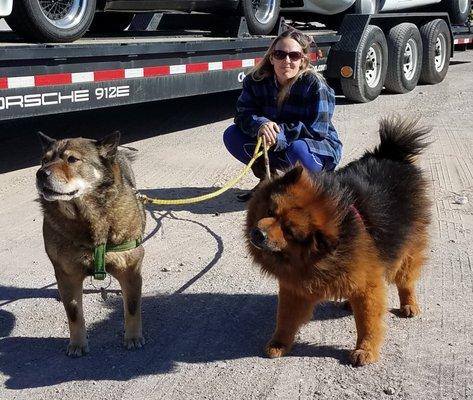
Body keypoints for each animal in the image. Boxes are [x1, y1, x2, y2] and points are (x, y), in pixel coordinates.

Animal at [245, 116, 430, 366]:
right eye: (270, 211)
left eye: (289, 231)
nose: (259, 233)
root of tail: (390, 153)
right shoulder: (295, 287)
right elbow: (285, 318)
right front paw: (279, 343)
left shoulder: (368, 284)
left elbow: (367, 322)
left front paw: (365, 349)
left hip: (408, 246)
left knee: (405, 279)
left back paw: (409, 303)